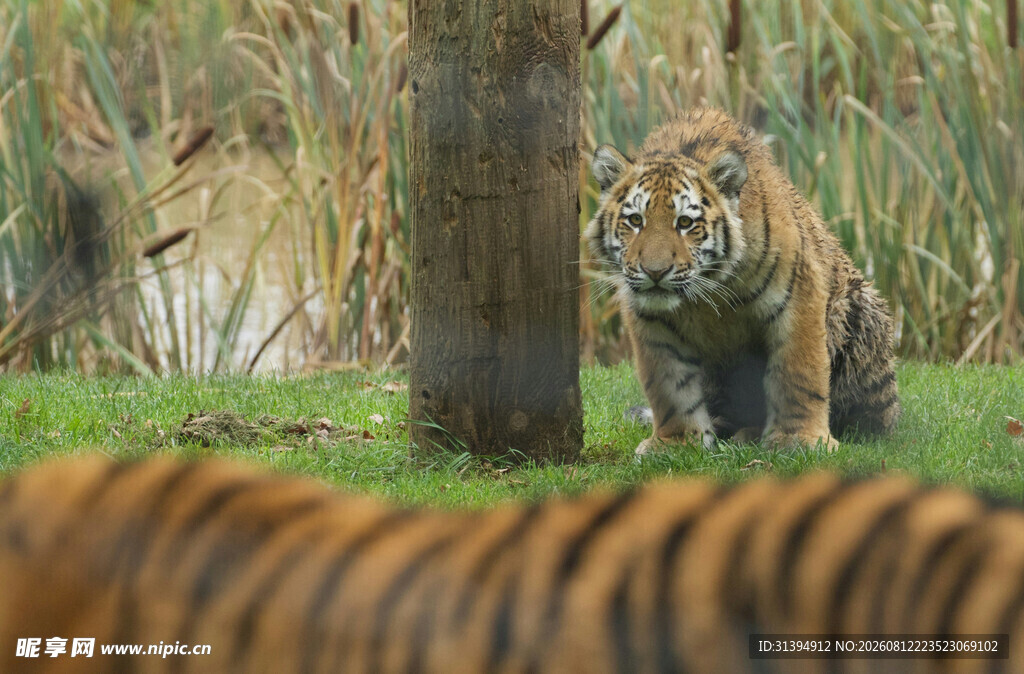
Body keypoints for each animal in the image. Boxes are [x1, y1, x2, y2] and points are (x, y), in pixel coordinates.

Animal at [585, 107, 900, 456]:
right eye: (635, 220)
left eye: (685, 222)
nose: (655, 272)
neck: (706, 291)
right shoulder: (652, 319)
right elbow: (669, 387)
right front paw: (676, 443)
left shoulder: (799, 298)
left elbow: (799, 374)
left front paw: (799, 441)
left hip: (859, 313)